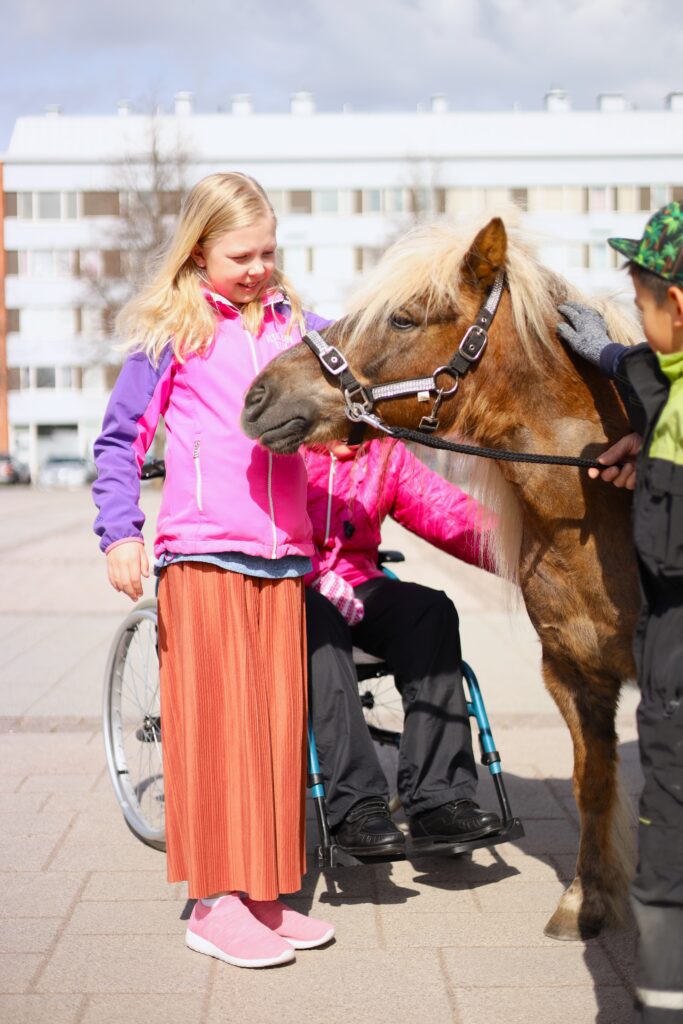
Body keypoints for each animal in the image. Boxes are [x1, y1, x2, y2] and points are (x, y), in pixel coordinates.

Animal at [242, 218, 643, 942]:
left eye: (402, 317)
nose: (258, 395)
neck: (597, 507)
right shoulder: (571, 674)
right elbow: (591, 783)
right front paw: (584, 903)